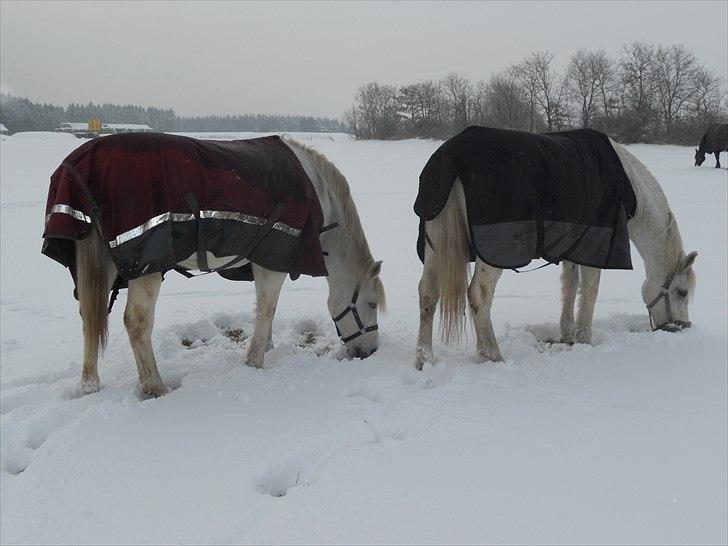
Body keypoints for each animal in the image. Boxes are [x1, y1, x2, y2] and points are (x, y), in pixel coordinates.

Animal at [42, 133, 384, 396]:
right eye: (370, 304)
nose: (370, 353)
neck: (318, 195)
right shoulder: (273, 264)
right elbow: (267, 310)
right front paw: (255, 361)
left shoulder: (263, 263)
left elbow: (266, 312)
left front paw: (268, 348)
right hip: (146, 267)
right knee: (136, 323)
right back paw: (155, 387)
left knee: (91, 315)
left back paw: (89, 385)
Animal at [412, 125, 696, 368]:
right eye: (682, 292)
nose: (682, 326)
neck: (626, 182)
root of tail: (449, 157)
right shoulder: (596, 246)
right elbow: (590, 290)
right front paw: (584, 338)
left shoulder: (573, 244)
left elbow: (570, 286)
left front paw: (567, 334)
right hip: (494, 253)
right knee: (478, 295)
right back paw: (492, 355)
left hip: (436, 244)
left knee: (428, 292)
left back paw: (424, 358)